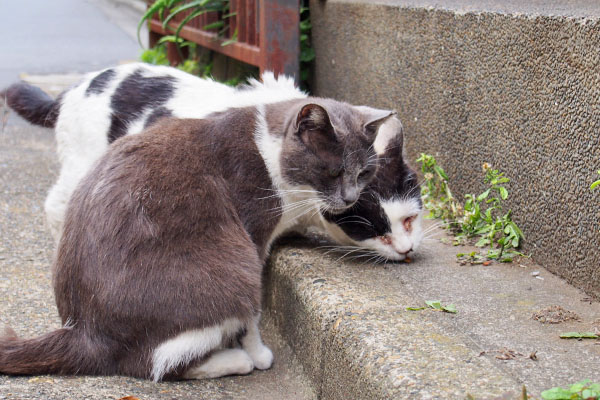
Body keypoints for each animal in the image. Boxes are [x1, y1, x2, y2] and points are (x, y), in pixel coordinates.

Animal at [1, 63, 422, 260]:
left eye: (409, 219)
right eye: (375, 228)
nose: (406, 250)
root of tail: (77, 85)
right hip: (81, 164)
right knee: (57, 203)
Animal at [1, 97, 398, 382]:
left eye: (364, 173)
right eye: (332, 171)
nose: (349, 198)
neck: (270, 151)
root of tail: (83, 330)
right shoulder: (252, 233)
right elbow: (252, 316)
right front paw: (258, 353)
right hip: (230, 266)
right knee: (152, 363)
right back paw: (236, 360)